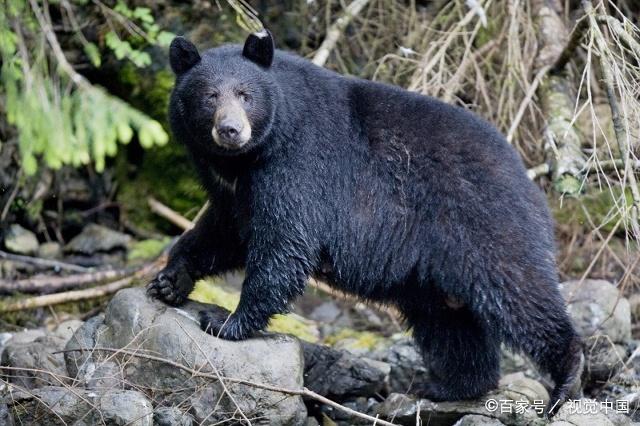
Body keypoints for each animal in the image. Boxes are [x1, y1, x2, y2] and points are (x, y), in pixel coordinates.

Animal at [148, 30, 584, 412]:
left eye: (245, 94)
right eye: (209, 96)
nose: (230, 129)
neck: (245, 160)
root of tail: (531, 185)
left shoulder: (297, 166)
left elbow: (284, 244)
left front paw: (227, 322)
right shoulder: (233, 192)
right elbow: (223, 233)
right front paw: (170, 280)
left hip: (486, 226)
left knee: (520, 293)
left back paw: (567, 373)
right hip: (431, 278)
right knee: (451, 325)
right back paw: (449, 386)